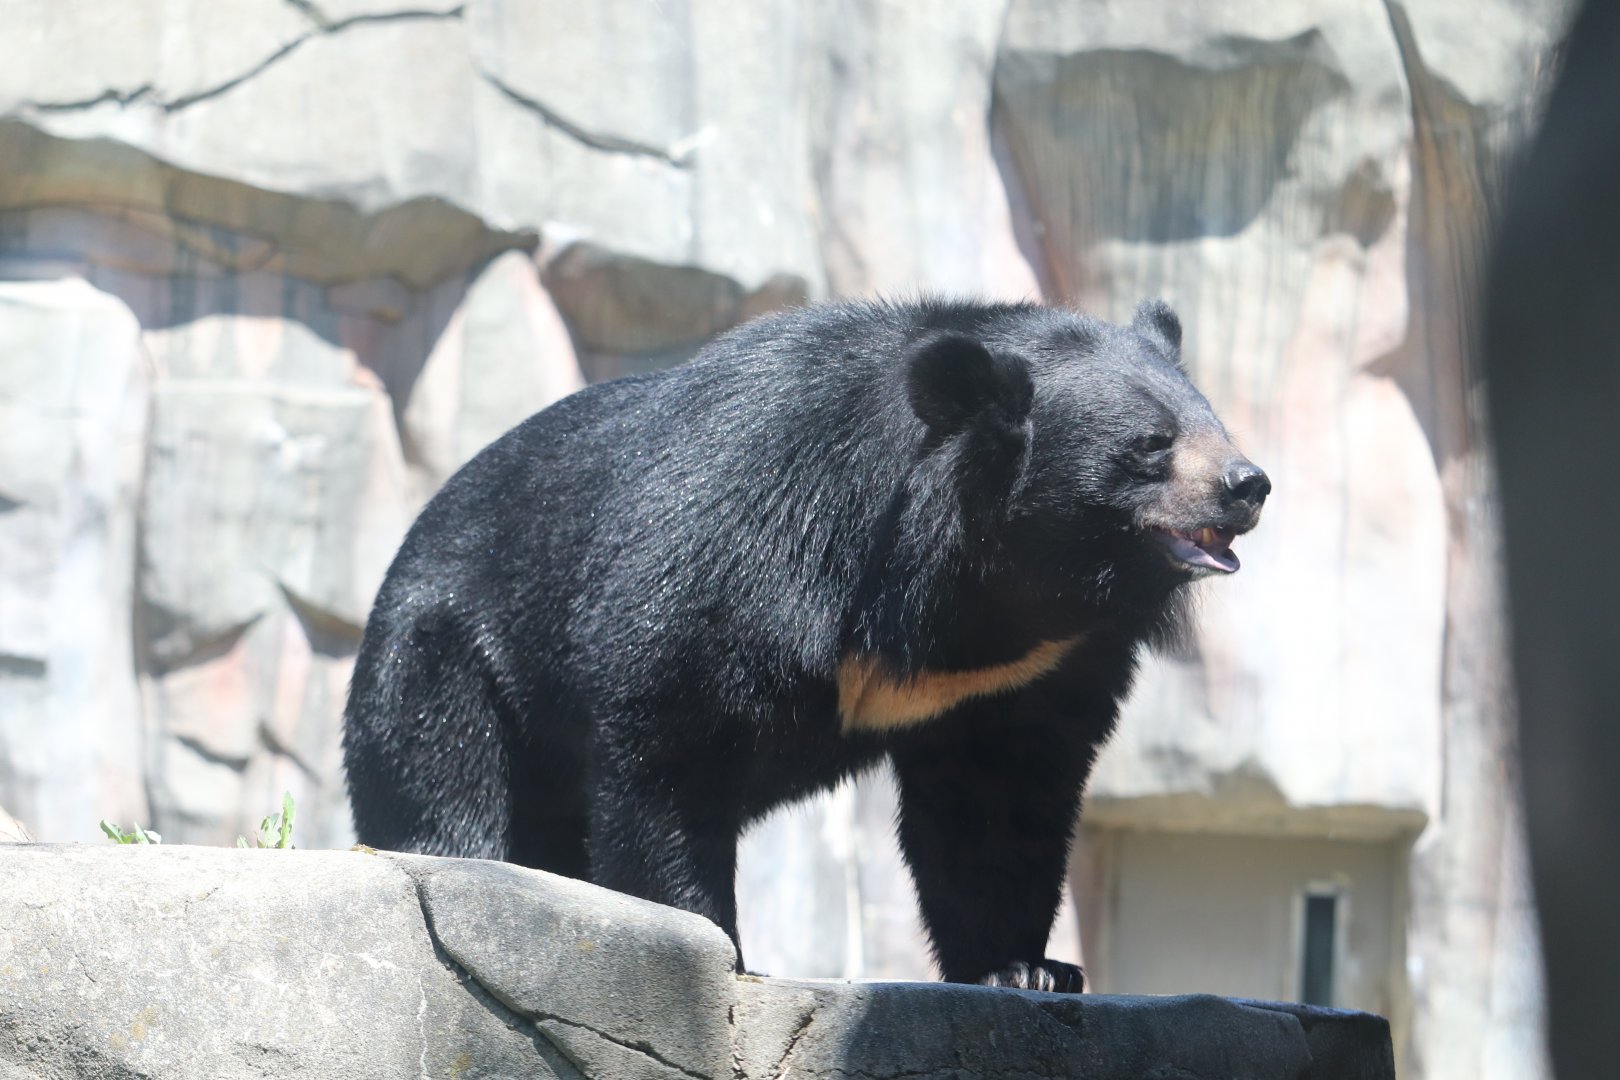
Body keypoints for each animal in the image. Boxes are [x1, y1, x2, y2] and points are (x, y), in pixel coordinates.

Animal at [342, 297, 1268, 993]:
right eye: (1150, 445)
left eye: (1214, 422)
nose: (1249, 485)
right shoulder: (744, 542)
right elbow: (667, 740)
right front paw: (702, 946)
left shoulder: (1026, 667)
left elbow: (1001, 797)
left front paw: (1026, 969)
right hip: (442, 658)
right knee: (446, 778)